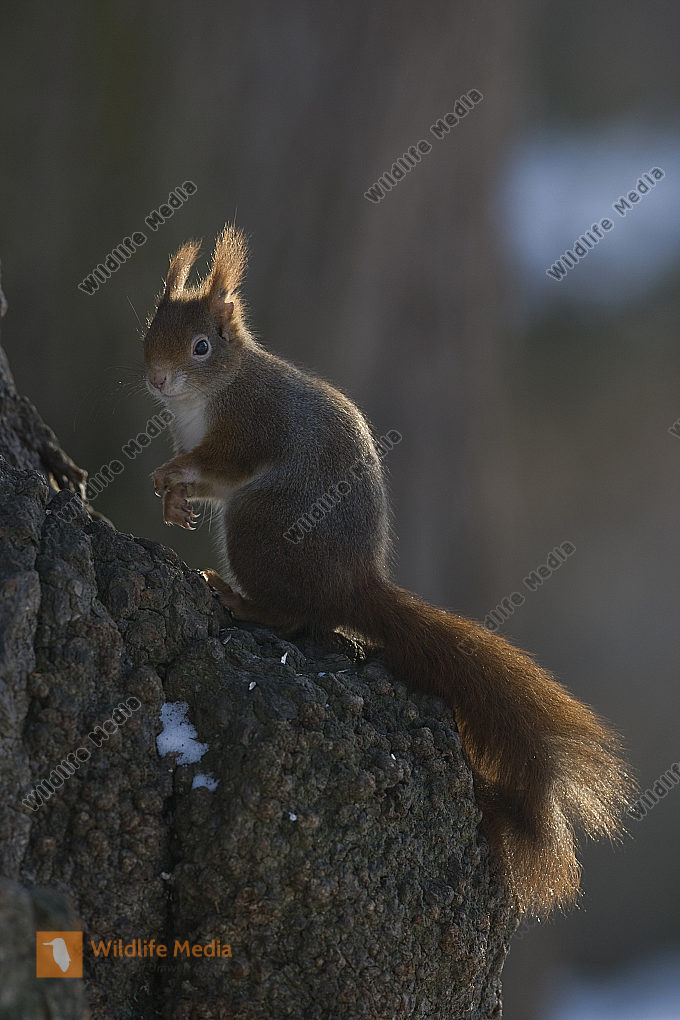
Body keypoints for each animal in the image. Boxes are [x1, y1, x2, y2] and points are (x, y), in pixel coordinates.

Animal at [144, 226, 633, 916]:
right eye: (148, 328)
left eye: (201, 346)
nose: (159, 379)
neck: (208, 394)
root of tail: (354, 584)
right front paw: (172, 499)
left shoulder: (251, 423)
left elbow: (221, 463)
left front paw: (172, 475)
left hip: (262, 525)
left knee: (295, 616)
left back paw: (244, 601)